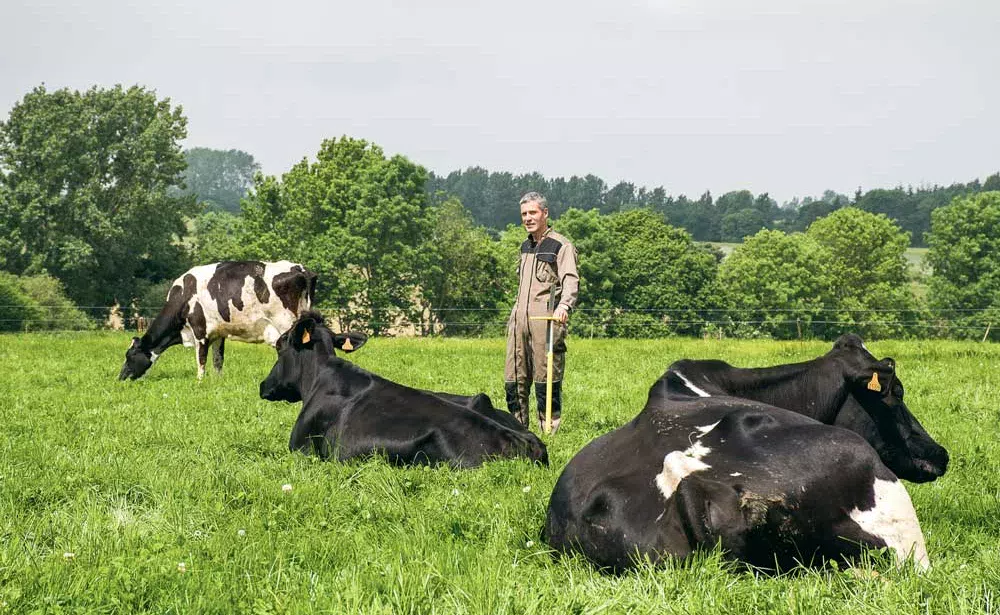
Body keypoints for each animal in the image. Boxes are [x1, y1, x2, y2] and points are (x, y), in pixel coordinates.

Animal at [120, 260, 316, 380]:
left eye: (129, 356)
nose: (120, 378)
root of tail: (299, 269)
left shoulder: (200, 331)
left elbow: (201, 359)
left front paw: (199, 381)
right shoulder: (218, 333)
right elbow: (218, 360)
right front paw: (217, 380)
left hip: (286, 323)